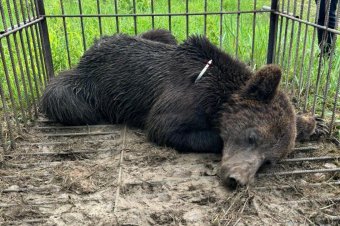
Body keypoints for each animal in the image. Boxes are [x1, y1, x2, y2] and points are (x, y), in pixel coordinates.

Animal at [40, 29, 326, 189]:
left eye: (269, 161)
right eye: (251, 136)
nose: (236, 179)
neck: (217, 96)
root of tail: (89, 51)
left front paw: (315, 122)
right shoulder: (180, 100)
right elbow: (165, 127)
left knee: (161, 32)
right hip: (83, 87)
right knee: (68, 102)